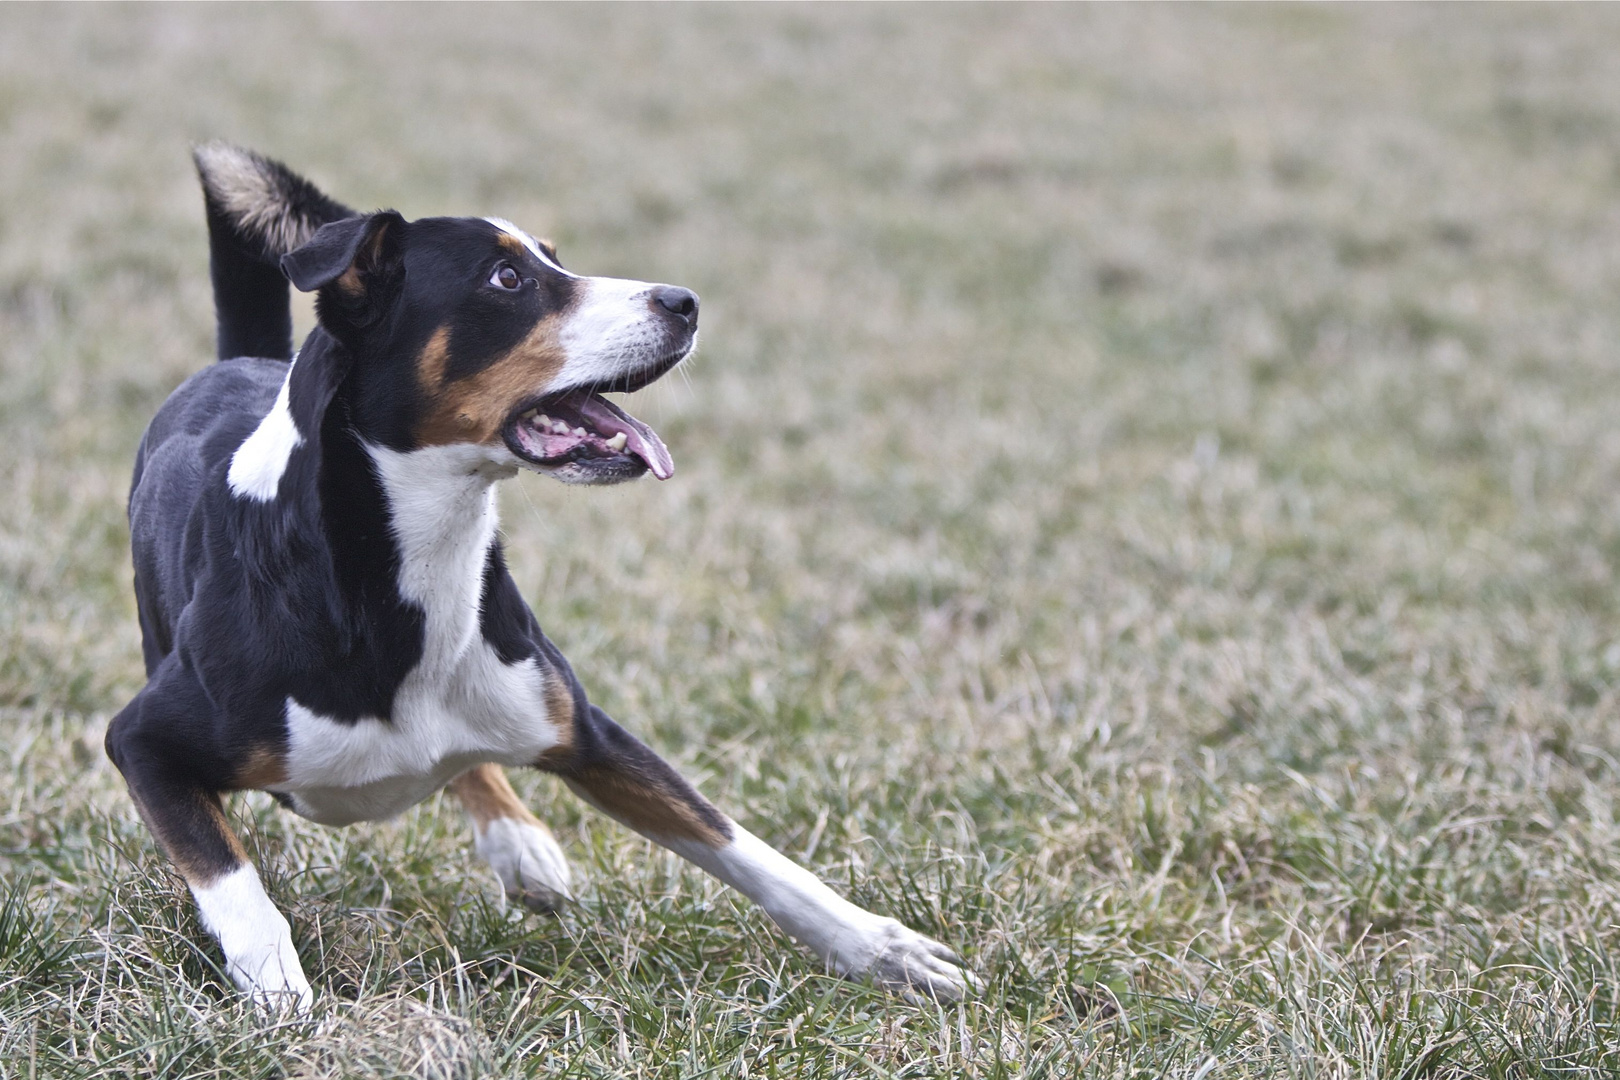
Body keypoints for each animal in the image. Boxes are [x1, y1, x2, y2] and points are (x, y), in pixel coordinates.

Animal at [104, 148, 972, 1010]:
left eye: (555, 258)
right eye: (507, 279)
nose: (686, 302)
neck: (401, 576)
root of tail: (237, 362)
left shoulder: (587, 732)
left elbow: (746, 849)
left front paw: (882, 948)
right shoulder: (144, 743)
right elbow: (233, 881)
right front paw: (280, 994)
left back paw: (521, 844)